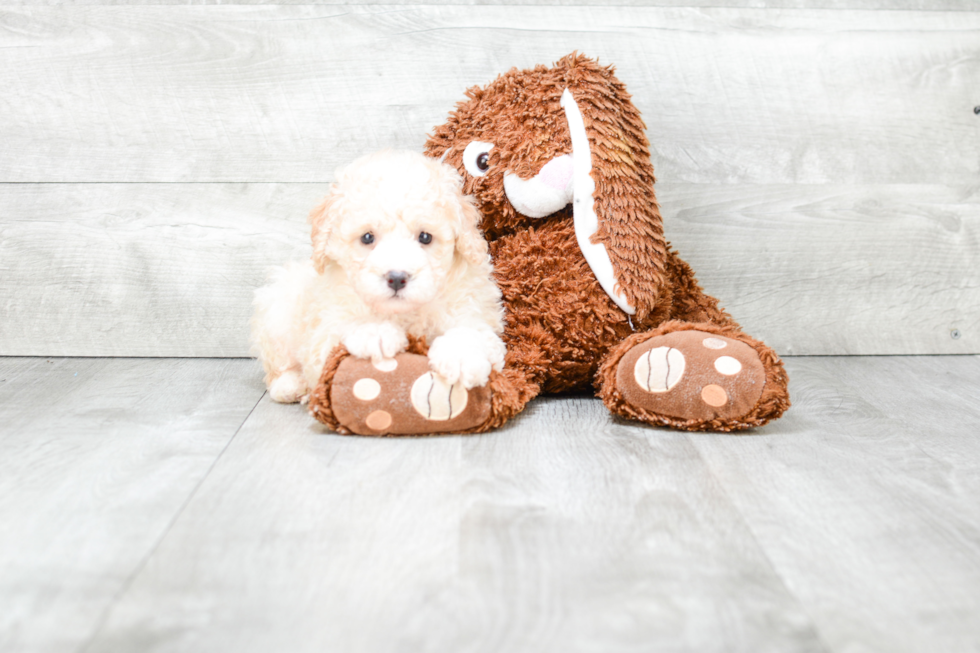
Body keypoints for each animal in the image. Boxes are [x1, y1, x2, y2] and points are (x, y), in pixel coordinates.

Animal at [249, 150, 510, 402]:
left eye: (425, 237)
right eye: (367, 237)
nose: (396, 278)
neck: (404, 313)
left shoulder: (475, 308)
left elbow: (473, 330)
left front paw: (462, 356)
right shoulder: (322, 332)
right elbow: (338, 331)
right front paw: (375, 332)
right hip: (276, 313)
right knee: (278, 366)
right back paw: (290, 385)